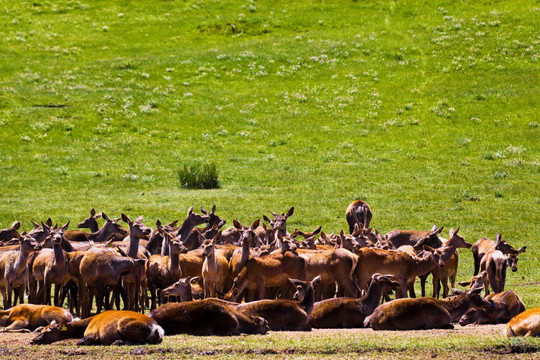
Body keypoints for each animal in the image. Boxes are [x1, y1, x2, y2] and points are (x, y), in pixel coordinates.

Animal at [30, 310, 162, 346]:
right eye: (41, 329)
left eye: (48, 331)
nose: (32, 341)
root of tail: (157, 329)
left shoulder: (91, 333)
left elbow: (81, 341)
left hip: (122, 324)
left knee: (141, 341)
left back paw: (117, 342)